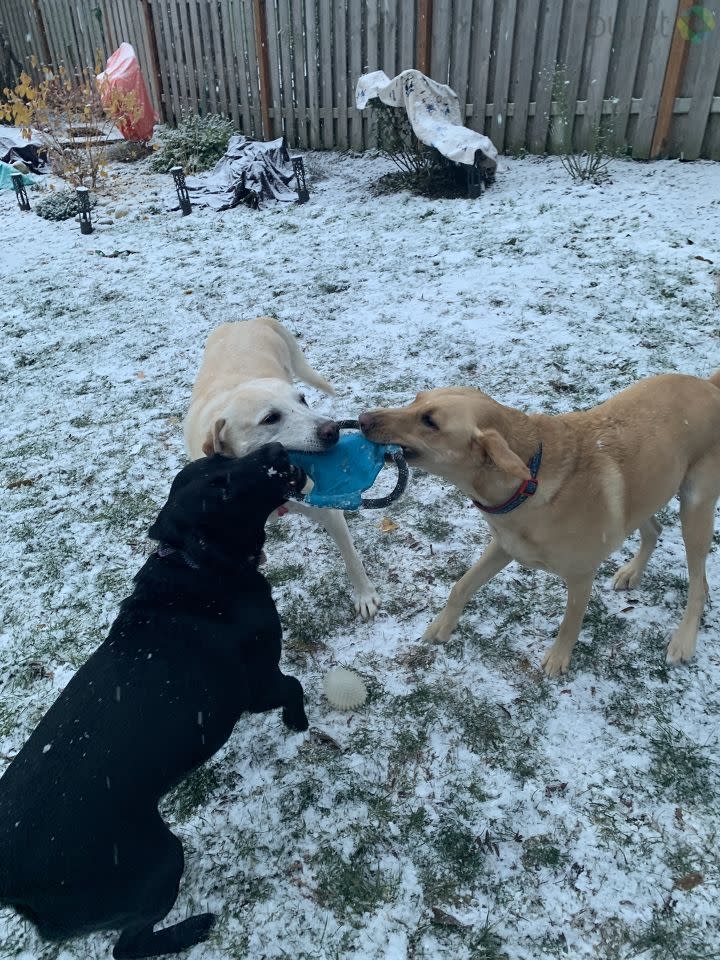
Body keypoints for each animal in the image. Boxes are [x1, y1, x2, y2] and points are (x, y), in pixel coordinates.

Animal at [0, 442, 306, 960]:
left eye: (222, 460)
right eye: (221, 487)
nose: (276, 448)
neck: (198, 567)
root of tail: (11, 877)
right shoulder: (258, 685)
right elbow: (295, 686)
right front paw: (298, 722)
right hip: (157, 862)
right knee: (128, 945)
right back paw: (194, 928)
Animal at [183, 318, 380, 620]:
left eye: (302, 400)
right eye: (270, 418)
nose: (332, 430)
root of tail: (248, 319)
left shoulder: (329, 512)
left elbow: (351, 557)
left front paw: (365, 595)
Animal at [362, 372, 720, 672]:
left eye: (430, 421)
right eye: (417, 399)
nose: (363, 419)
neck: (526, 483)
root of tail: (708, 385)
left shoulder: (580, 576)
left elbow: (570, 622)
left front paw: (558, 659)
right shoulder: (504, 546)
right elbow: (461, 585)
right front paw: (442, 625)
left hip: (695, 508)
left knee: (698, 583)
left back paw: (684, 640)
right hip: (646, 495)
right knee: (654, 530)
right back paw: (632, 572)